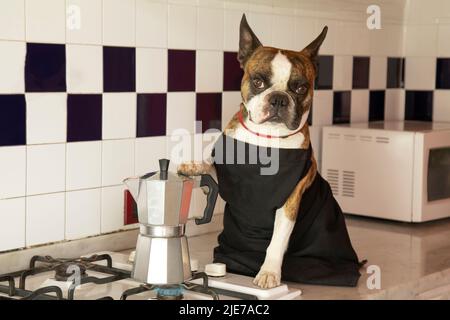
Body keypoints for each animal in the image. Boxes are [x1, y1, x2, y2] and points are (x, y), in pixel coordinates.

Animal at [178, 14, 360, 290]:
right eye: (258, 81)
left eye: (300, 88)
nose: (278, 99)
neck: (267, 140)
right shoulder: (225, 170)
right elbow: (209, 164)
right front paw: (192, 165)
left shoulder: (289, 202)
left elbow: (277, 240)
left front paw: (269, 272)